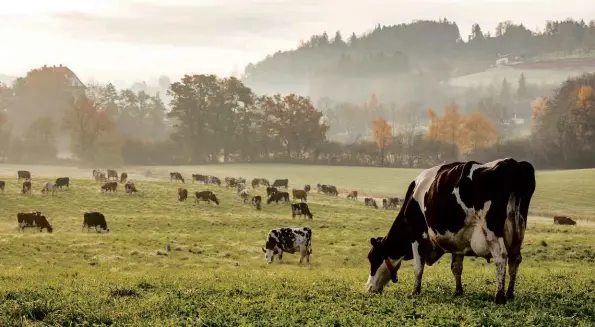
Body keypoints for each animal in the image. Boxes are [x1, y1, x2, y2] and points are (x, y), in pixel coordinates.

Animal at [366, 158, 536, 306]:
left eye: (372, 258)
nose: (368, 288)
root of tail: (511, 163)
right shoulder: (458, 239)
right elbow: (456, 266)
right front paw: (458, 291)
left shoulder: (417, 235)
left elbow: (418, 267)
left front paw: (415, 292)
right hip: (519, 230)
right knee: (515, 259)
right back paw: (510, 293)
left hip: (492, 231)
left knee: (501, 257)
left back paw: (499, 296)